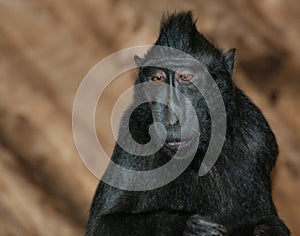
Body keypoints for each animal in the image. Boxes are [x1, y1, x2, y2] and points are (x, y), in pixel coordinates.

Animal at [86, 11, 288, 236]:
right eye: (158, 79)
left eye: (185, 77)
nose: (171, 119)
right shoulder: (133, 134)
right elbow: (102, 224)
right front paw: (190, 227)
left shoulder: (258, 142)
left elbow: (266, 221)